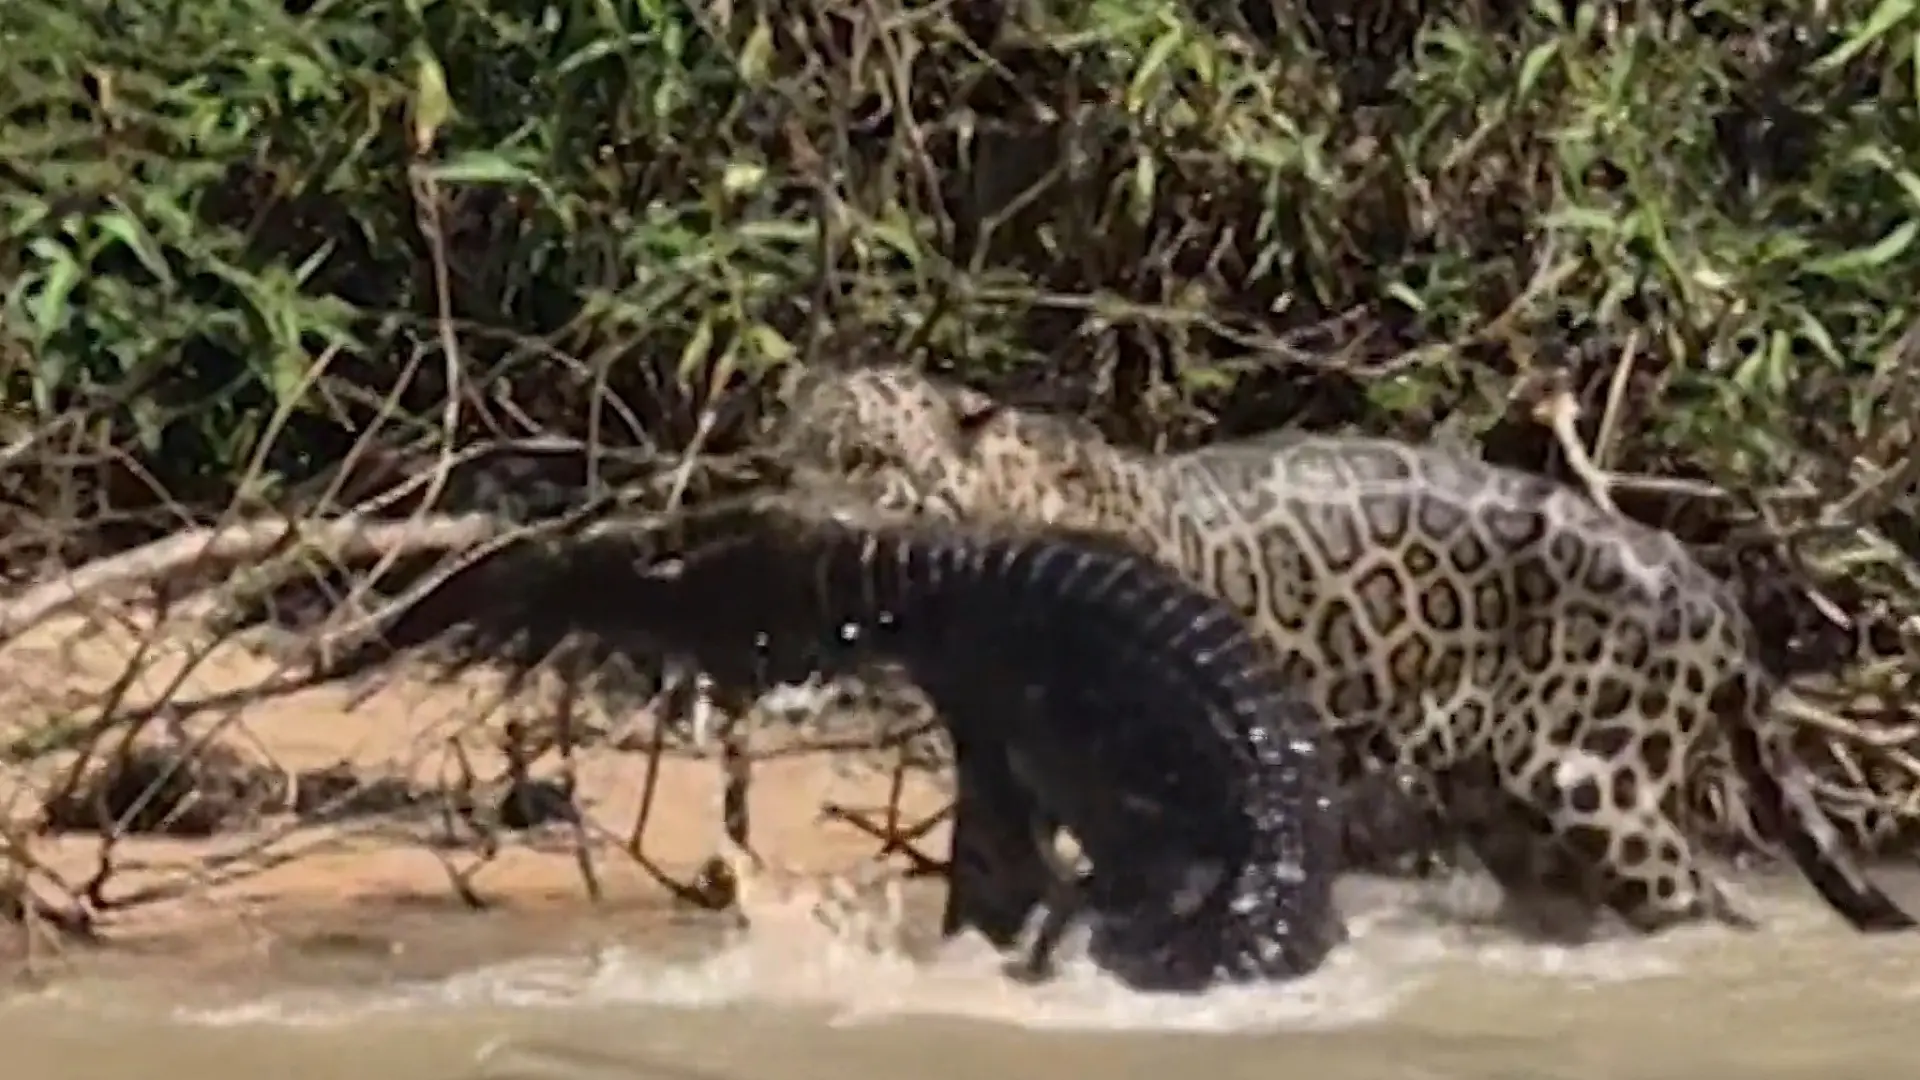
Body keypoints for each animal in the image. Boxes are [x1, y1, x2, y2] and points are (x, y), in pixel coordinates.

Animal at [758, 362, 1917, 938]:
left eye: (864, 459)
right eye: (787, 453)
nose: (786, 529)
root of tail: (1709, 585)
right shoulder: (996, 770)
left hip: (1596, 782)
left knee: (1702, 902)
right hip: (1516, 812)